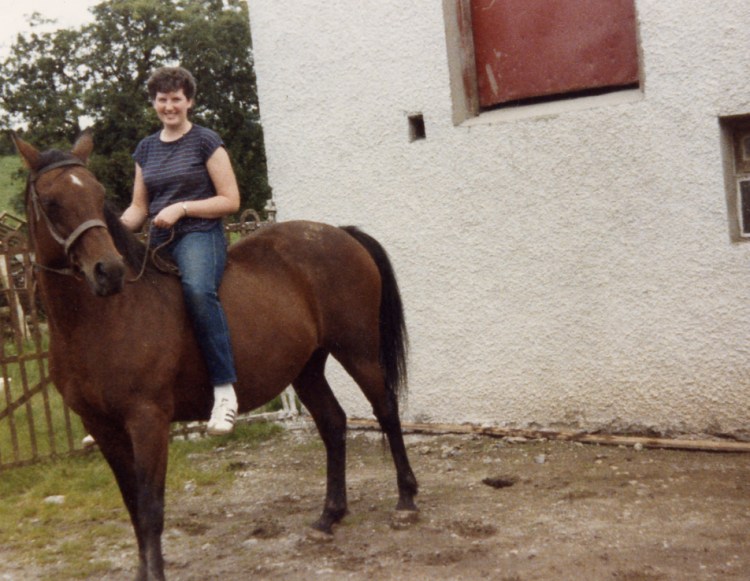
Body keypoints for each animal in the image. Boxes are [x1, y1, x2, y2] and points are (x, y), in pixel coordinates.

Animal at [12, 132, 418, 581]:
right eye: (51, 202)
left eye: (99, 195)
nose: (109, 272)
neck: (100, 320)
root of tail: (341, 234)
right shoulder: (101, 426)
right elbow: (133, 507)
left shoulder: (148, 421)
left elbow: (151, 509)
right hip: (307, 367)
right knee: (333, 423)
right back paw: (329, 516)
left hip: (358, 351)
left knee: (386, 410)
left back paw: (406, 501)